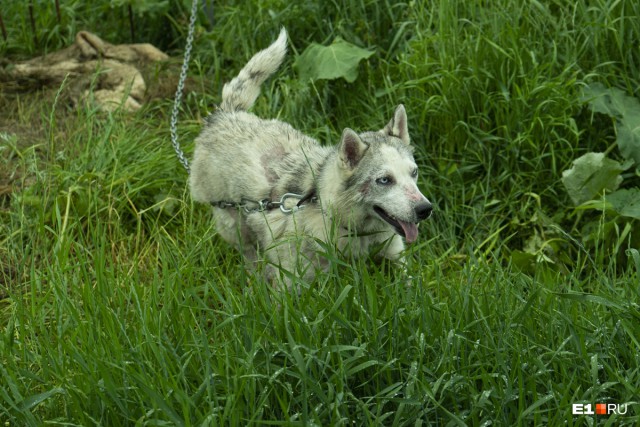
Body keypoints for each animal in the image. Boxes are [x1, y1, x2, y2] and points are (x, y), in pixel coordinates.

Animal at [188, 29, 432, 284]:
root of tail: (226, 114)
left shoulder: (395, 256)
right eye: (384, 180)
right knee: (248, 253)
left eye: (414, 173)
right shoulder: (294, 279)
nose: (425, 209)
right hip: (232, 223)